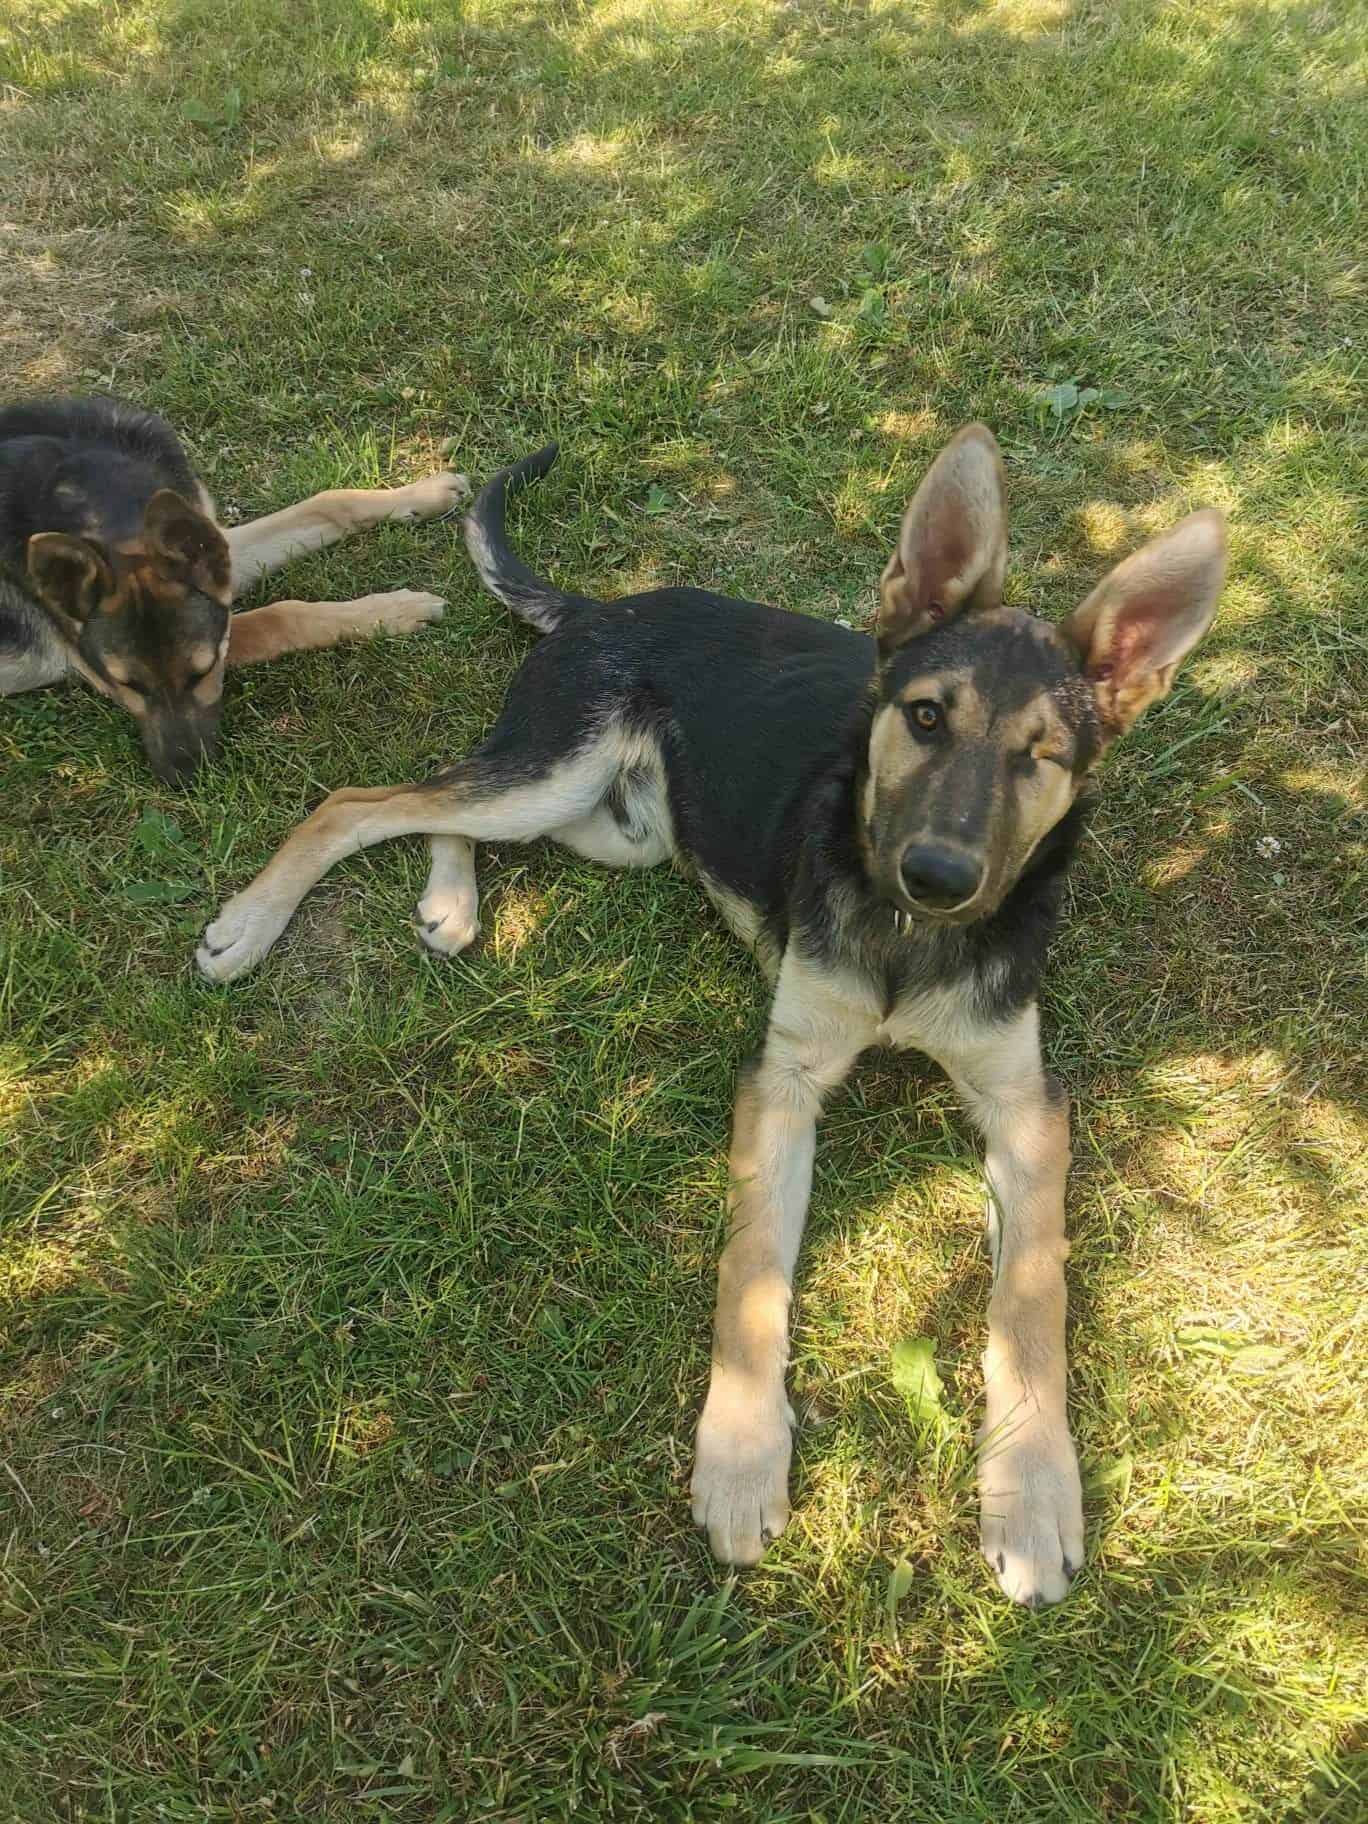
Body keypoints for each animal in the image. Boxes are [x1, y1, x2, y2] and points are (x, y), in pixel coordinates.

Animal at [0, 395, 468, 782]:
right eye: (126, 685)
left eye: (201, 673)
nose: (184, 779)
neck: (93, 503)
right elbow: (283, 614)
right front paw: (394, 611)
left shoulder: (217, 547)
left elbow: (328, 503)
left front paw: (422, 493)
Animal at [193, 426, 1226, 1606]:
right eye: (926, 717)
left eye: (1040, 756)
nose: (936, 876)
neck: (905, 941)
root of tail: (600, 606)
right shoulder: (784, 1077)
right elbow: (752, 1274)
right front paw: (739, 1460)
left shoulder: (1025, 1102)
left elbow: (1032, 1296)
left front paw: (1034, 1492)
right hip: (560, 771)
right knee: (368, 802)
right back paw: (253, 921)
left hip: (621, 827)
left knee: (445, 814)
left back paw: (449, 903)